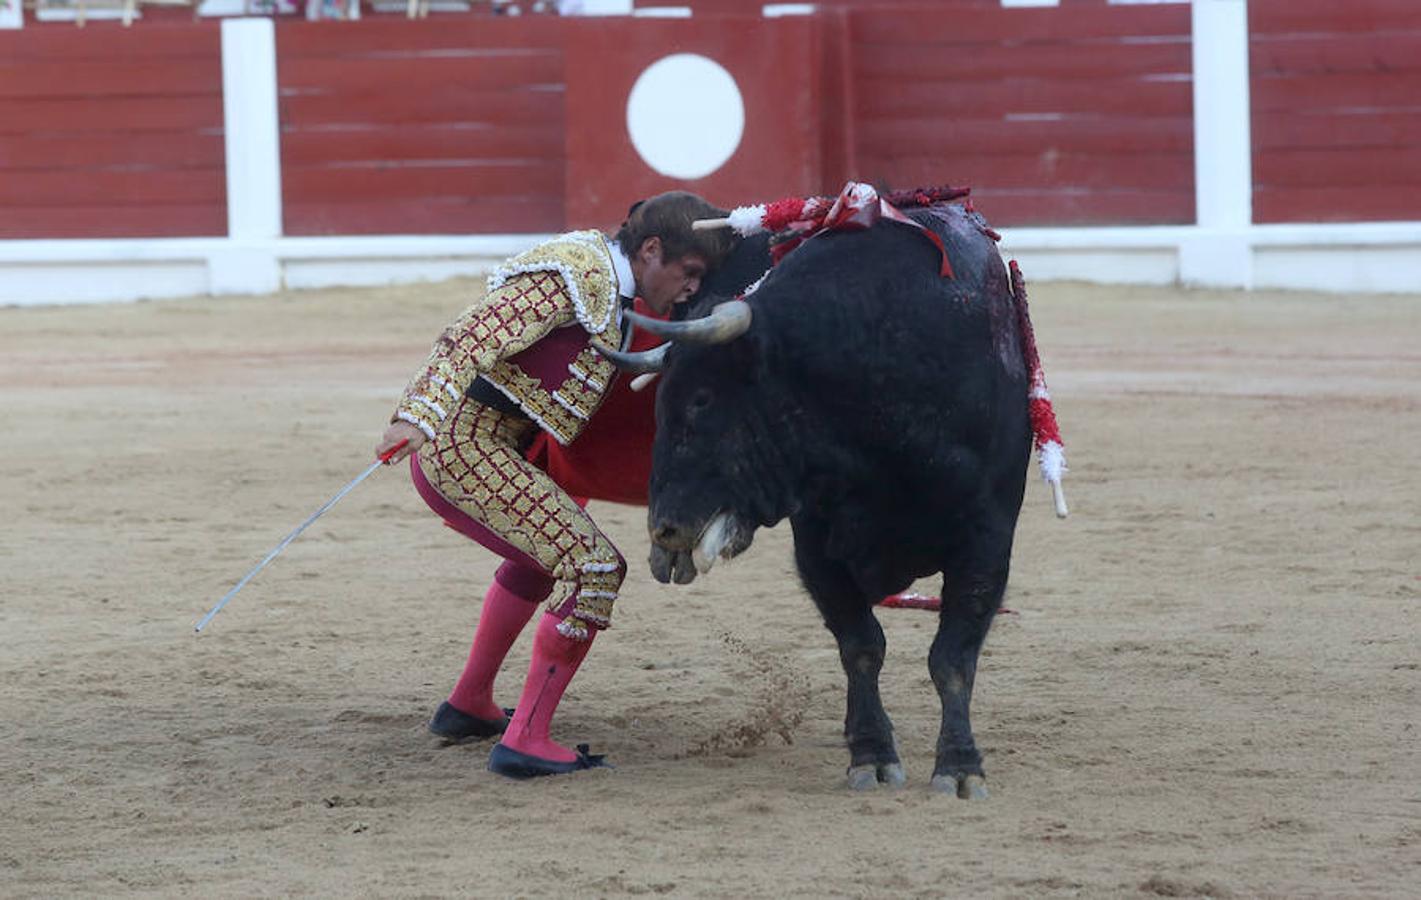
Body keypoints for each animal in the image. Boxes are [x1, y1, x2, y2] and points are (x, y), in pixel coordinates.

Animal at [608, 201, 1034, 790]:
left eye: (702, 399)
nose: (665, 530)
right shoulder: (816, 544)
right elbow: (861, 646)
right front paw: (872, 756)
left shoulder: (988, 536)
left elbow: (953, 656)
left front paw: (960, 768)